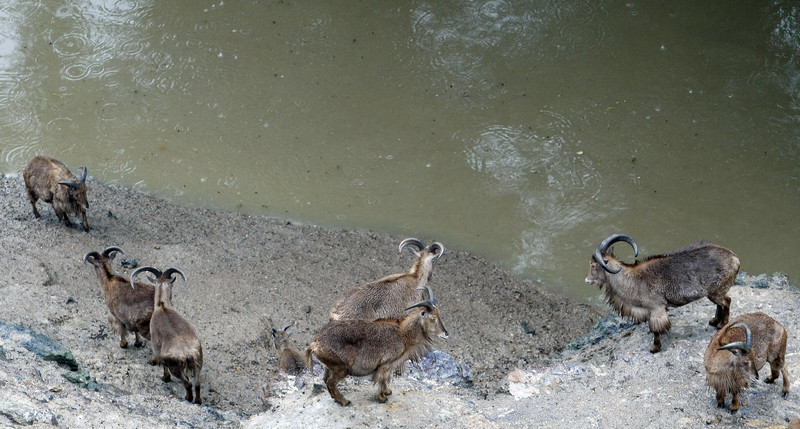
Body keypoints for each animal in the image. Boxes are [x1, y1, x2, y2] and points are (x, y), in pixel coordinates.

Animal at [131, 266, 203, 402]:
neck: (162, 307)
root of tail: (188, 353)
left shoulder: (158, 349)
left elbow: (162, 364)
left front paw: (165, 378)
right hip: (198, 362)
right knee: (197, 384)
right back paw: (198, 400)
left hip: (175, 366)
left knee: (187, 384)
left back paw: (188, 398)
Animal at [306, 284, 446, 404]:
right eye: (432, 318)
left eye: (439, 314)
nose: (446, 334)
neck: (403, 334)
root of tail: (314, 344)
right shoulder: (385, 364)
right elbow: (381, 380)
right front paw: (382, 397)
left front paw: (387, 392)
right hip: (340, 368)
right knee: (331, 382)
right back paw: (344, 401)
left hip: (328, 367)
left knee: (325, 380)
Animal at [584, 234, 740, 352]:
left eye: (593, 265)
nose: (586, 280)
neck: (634, 281)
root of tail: (735, 258)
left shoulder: (656, 309)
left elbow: (656, 329)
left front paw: (654, 348)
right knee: (721, 304)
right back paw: (714, 321)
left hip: (717, 291)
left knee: (727, 301)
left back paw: (721, 324)